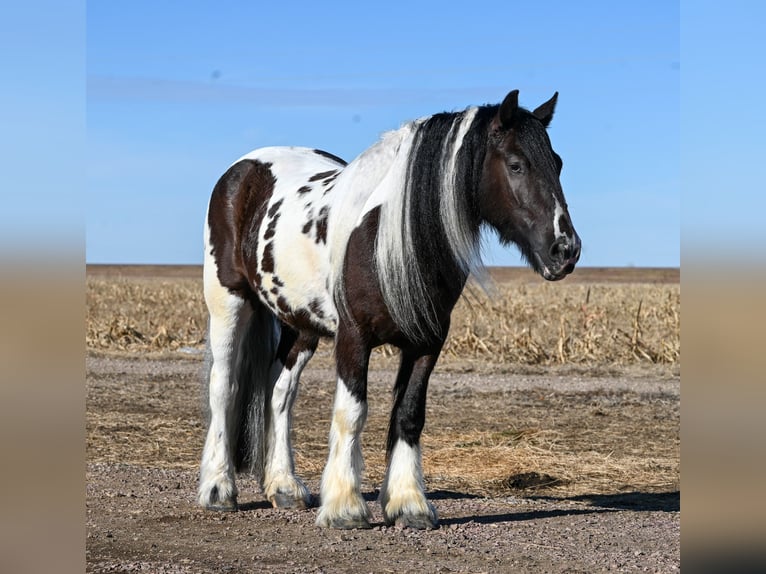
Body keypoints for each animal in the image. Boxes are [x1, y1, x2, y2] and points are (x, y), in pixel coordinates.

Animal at [198, 89, 584, 532]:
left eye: (558, 163)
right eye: (517, 164)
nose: (566, 250)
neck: (390, 235)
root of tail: (243, 169)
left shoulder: (426, 343)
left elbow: (409, 415)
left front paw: (408, 504)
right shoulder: (353, 338)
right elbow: (351, 413)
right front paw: (345, 508)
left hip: (300, 324)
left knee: (280, 392)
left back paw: (284, 487)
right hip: (229, 303)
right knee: (224, 387)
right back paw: (218, 490)